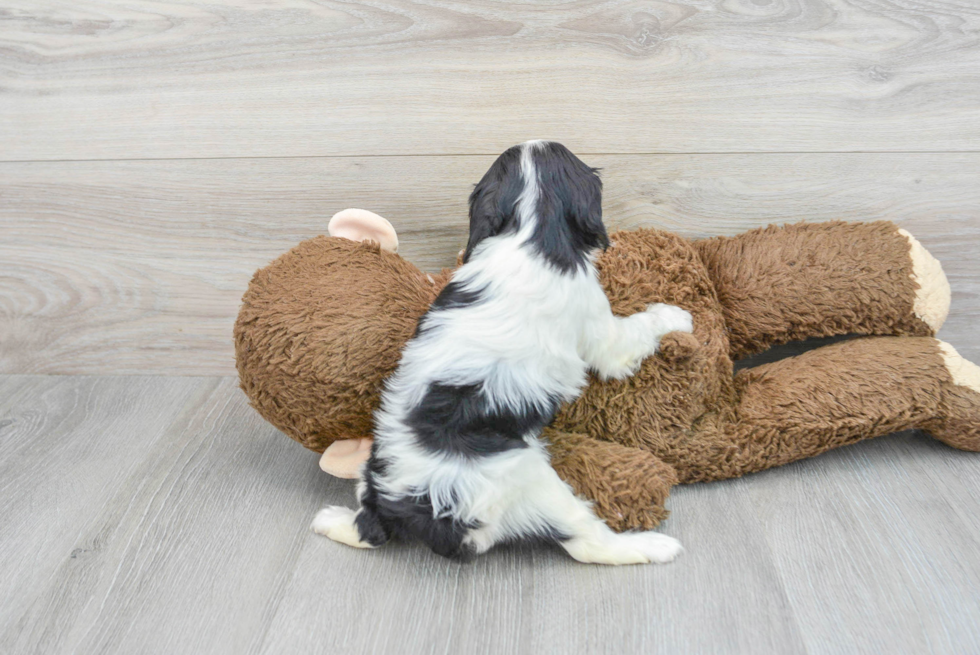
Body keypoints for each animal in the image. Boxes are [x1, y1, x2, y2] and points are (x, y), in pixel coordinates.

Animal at [312, 141, 688, 568]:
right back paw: (651, 545)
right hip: (527, 480)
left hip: (373, 477)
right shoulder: (599, 327)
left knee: (369, 529)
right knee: (586, 543)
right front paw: (676, 315)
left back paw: (331, 520)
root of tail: (409, 502)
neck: (527, 232)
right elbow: (635, 331)